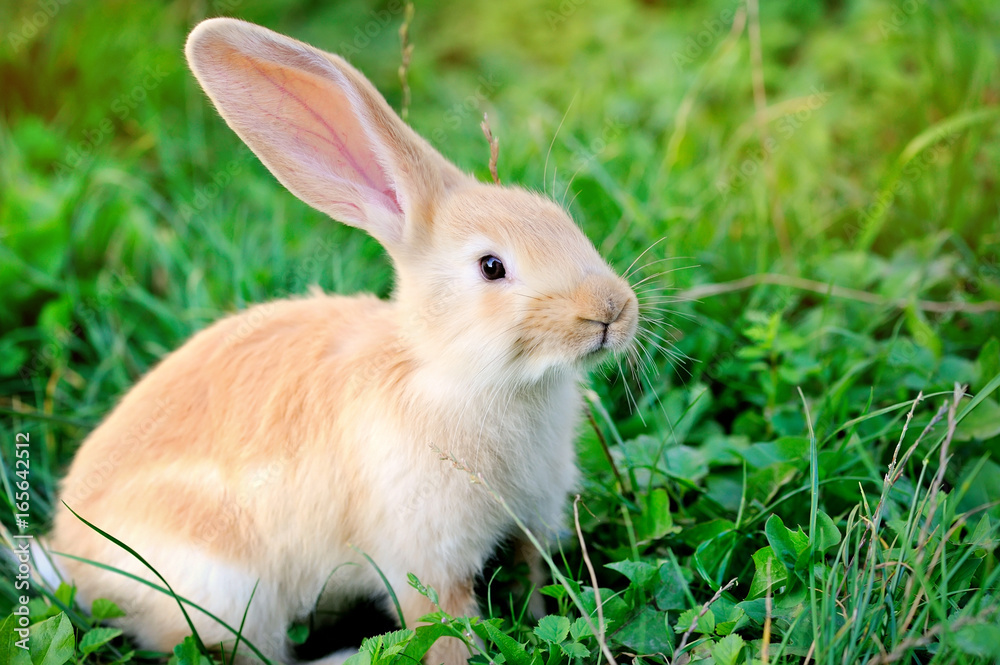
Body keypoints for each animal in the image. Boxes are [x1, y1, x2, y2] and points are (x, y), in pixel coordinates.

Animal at [46, 16, 638, 665]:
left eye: (566, 224)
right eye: (491, 267)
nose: (613, 311)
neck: (456, 373)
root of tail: (74, 562)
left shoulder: (532, 526)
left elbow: (533, 584)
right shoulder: (424, 562)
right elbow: (444, 630)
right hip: (224, 593)